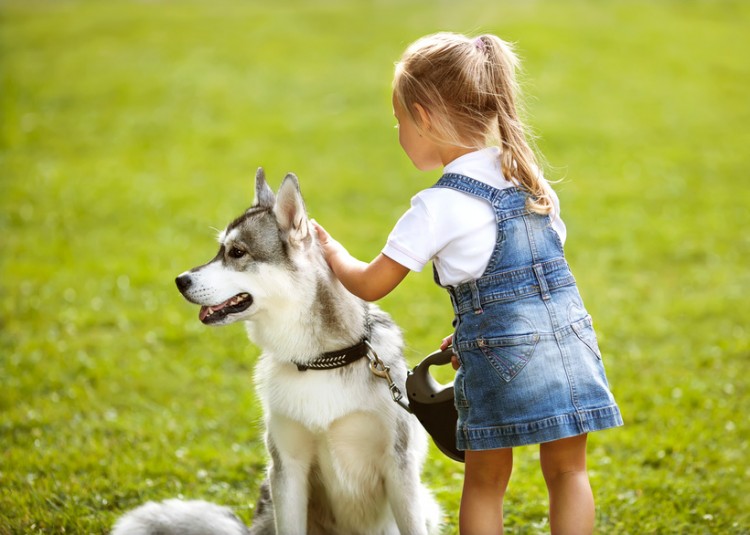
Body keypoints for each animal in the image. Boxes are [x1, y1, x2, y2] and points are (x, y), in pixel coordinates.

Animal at [114, 170, 444, 535]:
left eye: (237, 252)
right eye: (220, 250)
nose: (179, 280)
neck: (321, 362)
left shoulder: (399, 468)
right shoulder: (287, 469)